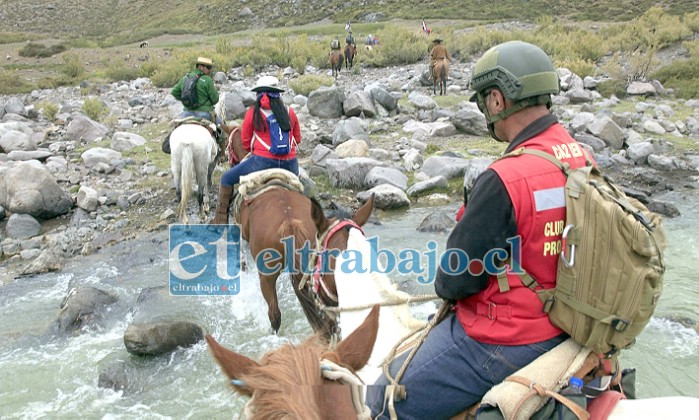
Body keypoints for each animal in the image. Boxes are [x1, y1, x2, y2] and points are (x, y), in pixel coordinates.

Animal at [167, 92, 227, 223]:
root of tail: (186, 141)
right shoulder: (211, 164)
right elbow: (208, 183)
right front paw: (207, 206)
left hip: (177, 166)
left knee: (179, 193)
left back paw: (184, 219)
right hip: (201, 167)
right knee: (200, 192)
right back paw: (202, 215)